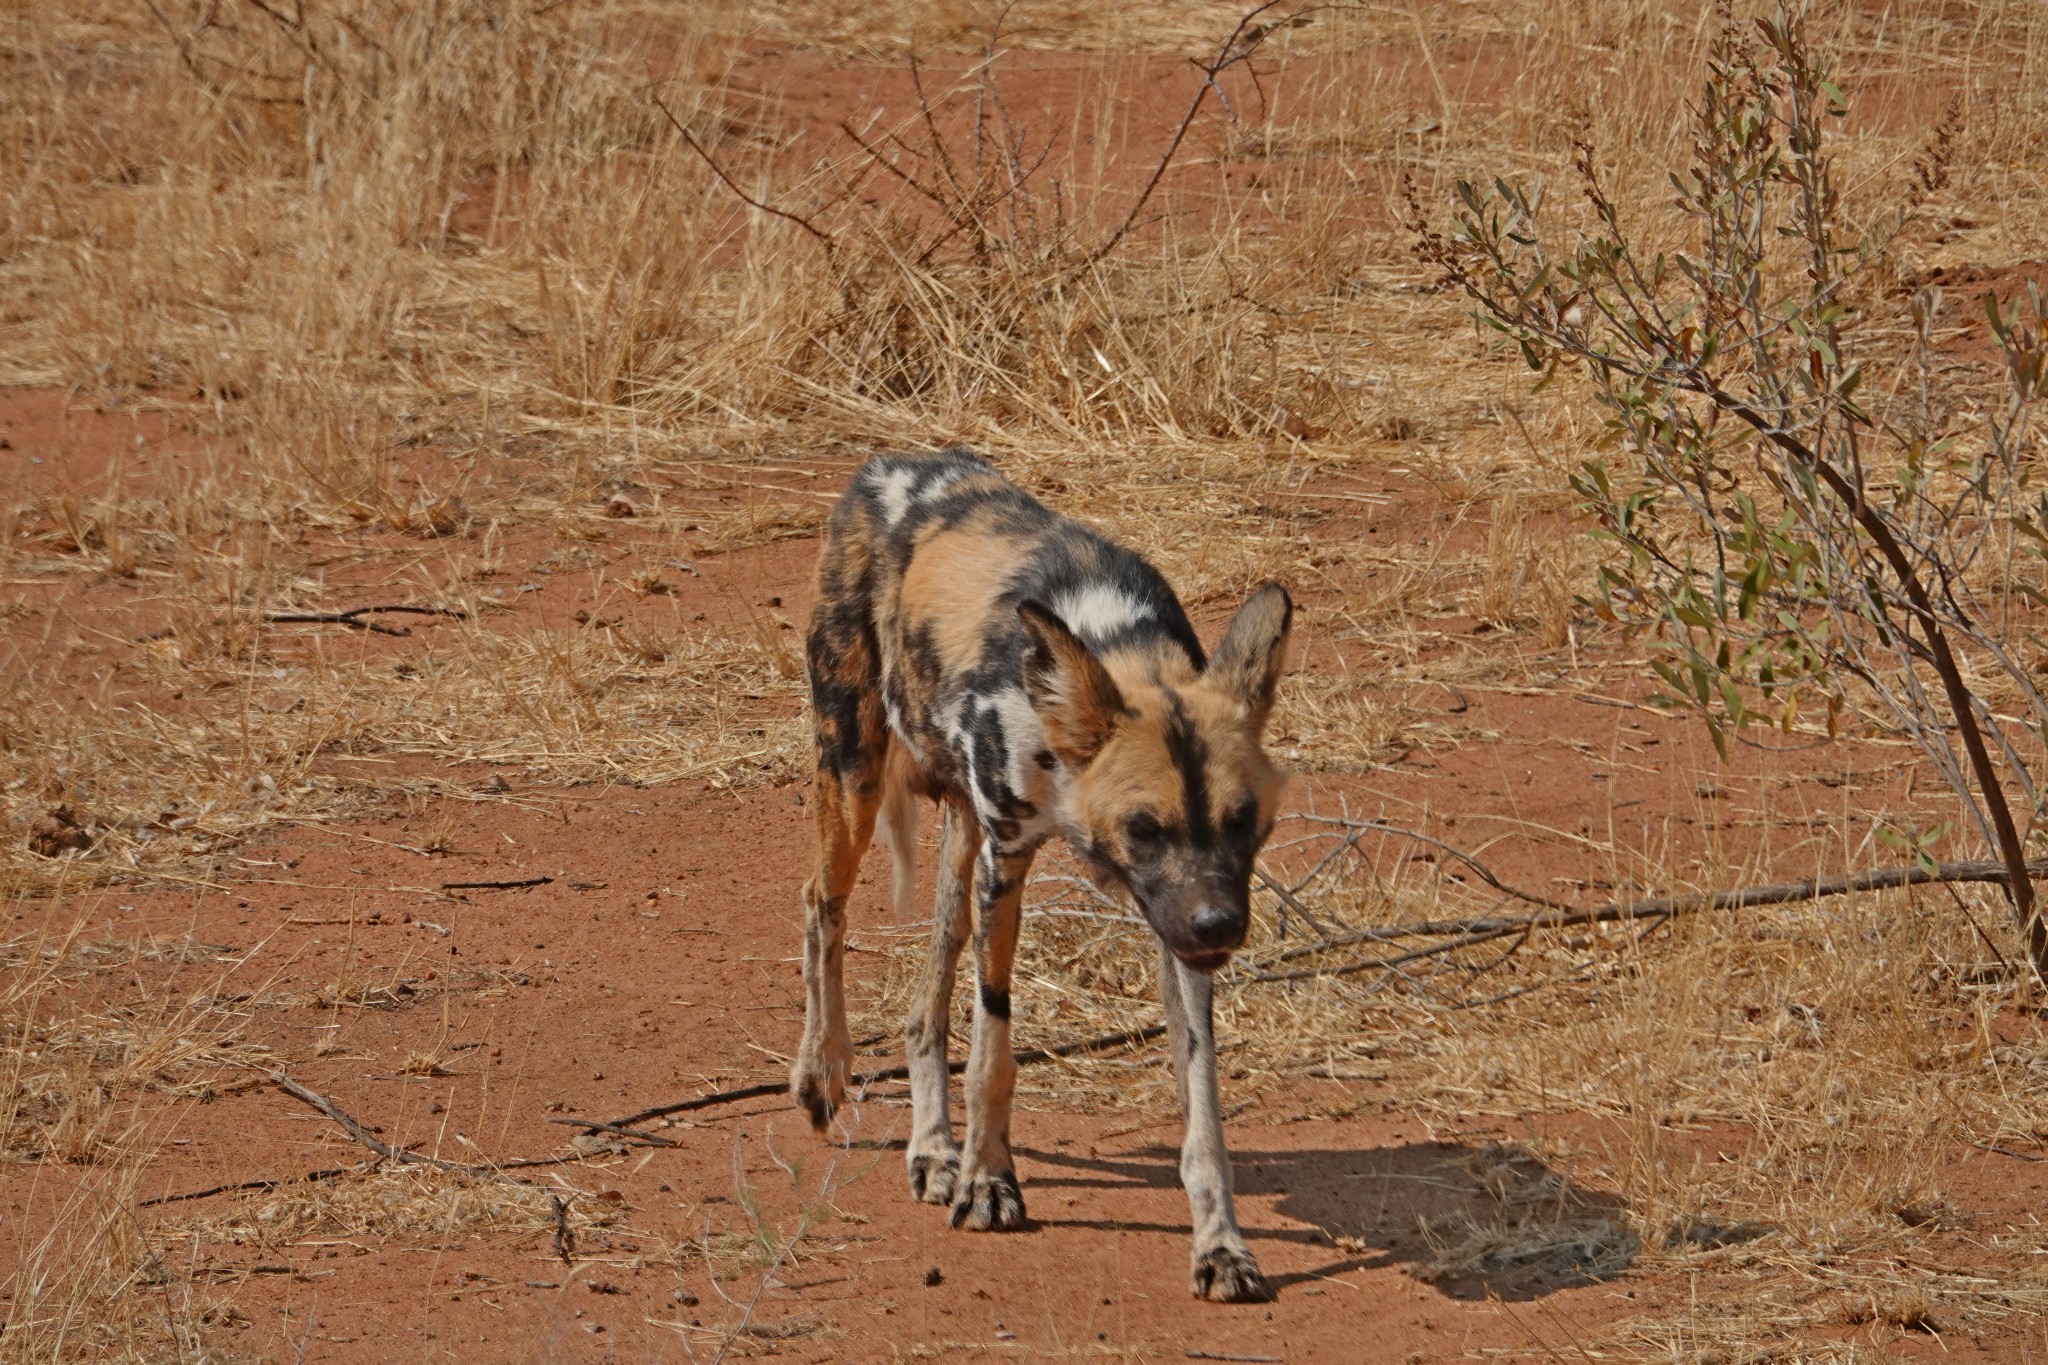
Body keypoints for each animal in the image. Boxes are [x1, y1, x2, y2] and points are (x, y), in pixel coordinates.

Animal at [790, 448, 1286, 1301]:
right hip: (856, 778)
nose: (1220, 925)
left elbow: (1203, 1111)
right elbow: (993, 1052)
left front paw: (1222, 1244)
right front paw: (990, 1182)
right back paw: (825, 1068)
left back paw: (932, 1149)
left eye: (1244, 820)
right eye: (1144, 827)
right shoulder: (1010, 861)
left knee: (924, 1005)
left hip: (959, 847)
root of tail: (883, 465)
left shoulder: (1173, 926)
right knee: (824, 904)